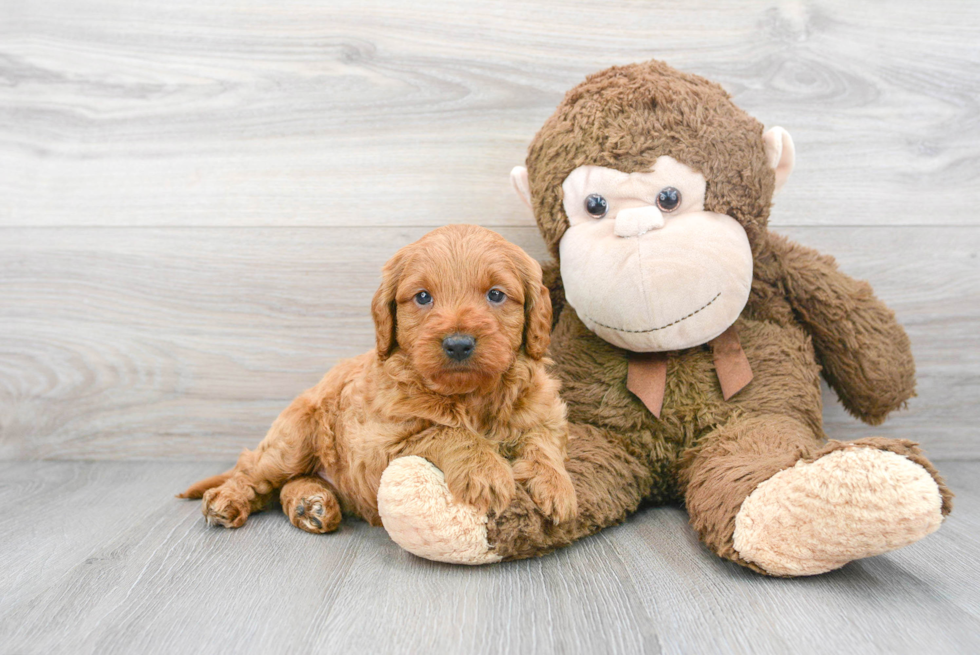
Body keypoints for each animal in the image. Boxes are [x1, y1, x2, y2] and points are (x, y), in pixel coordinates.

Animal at [180, 226, 580, 532]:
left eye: (496, 294)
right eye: (422, 297)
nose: (458, 344)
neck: (468, 397)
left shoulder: (545, 413)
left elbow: (541, 442)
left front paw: (557, 487)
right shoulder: (376, 447)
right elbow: (446, 431)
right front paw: (487, 471)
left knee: (283, 486)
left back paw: (311, 504)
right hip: (294, 438)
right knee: (254, 471)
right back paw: (227, 500)